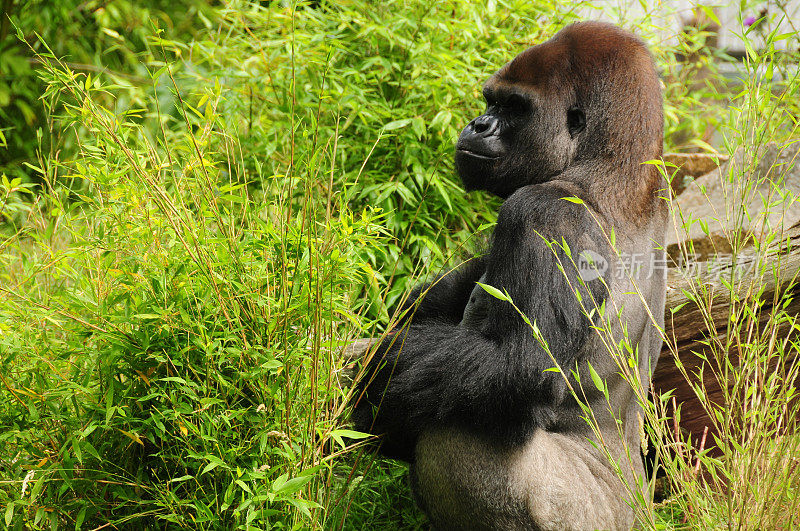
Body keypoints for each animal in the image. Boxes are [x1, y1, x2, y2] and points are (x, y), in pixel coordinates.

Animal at [354, 20, 664, 531]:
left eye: (515, 107)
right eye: (490, 101)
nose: (478, 125)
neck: (613, 171)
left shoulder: (546, 215)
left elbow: (521, 369)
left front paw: (377, 366)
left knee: (459, 429)